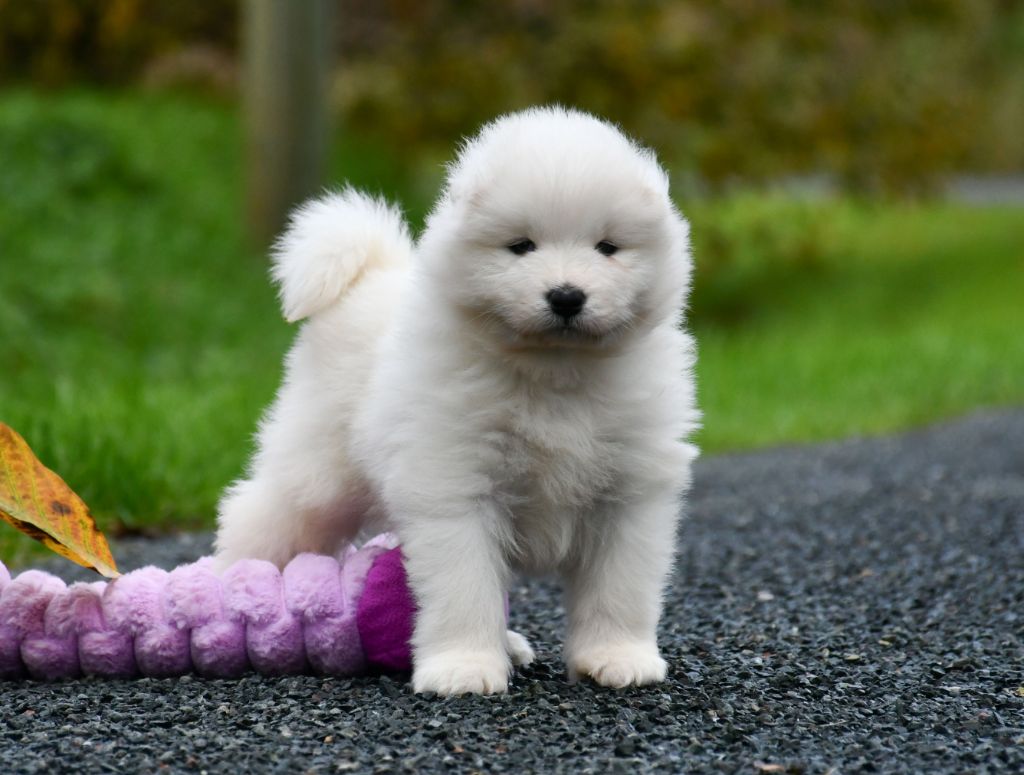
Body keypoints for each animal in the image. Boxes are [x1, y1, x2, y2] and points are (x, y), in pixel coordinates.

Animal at [211, 105, 700, 692]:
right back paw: (225, 593)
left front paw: (617, 656)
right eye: (521, 246)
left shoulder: (629, 494)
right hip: (318, 471)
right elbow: (465, 587)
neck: (554, 372)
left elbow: (619, 587)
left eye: (607, 247)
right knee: (258, 514)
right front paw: (464, 666)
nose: (566, 296)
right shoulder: (455, 485)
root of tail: (369, 275)